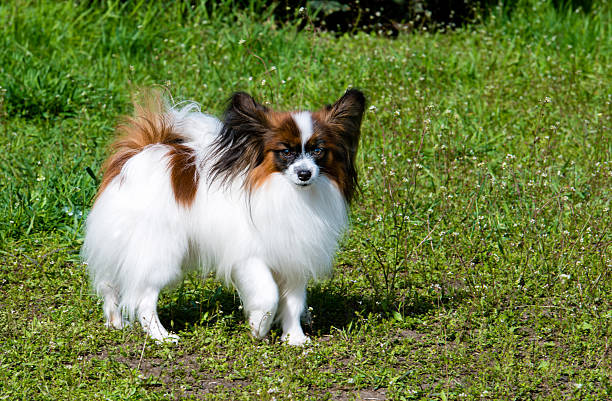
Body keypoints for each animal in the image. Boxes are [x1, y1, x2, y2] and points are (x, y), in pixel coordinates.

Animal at [83, 87, 366, 344]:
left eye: (318, 151)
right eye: (286, 151)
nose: (304, 174)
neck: (288, 193)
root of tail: (140, 154)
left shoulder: (295, 257)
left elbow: (293, 302)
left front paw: (294, 338)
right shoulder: (250, 256)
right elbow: (269, 295)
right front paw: (259, 327)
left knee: (109, 284)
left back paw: (115, 322)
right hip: (160, 251)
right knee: (143, 297)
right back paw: (161, 336)